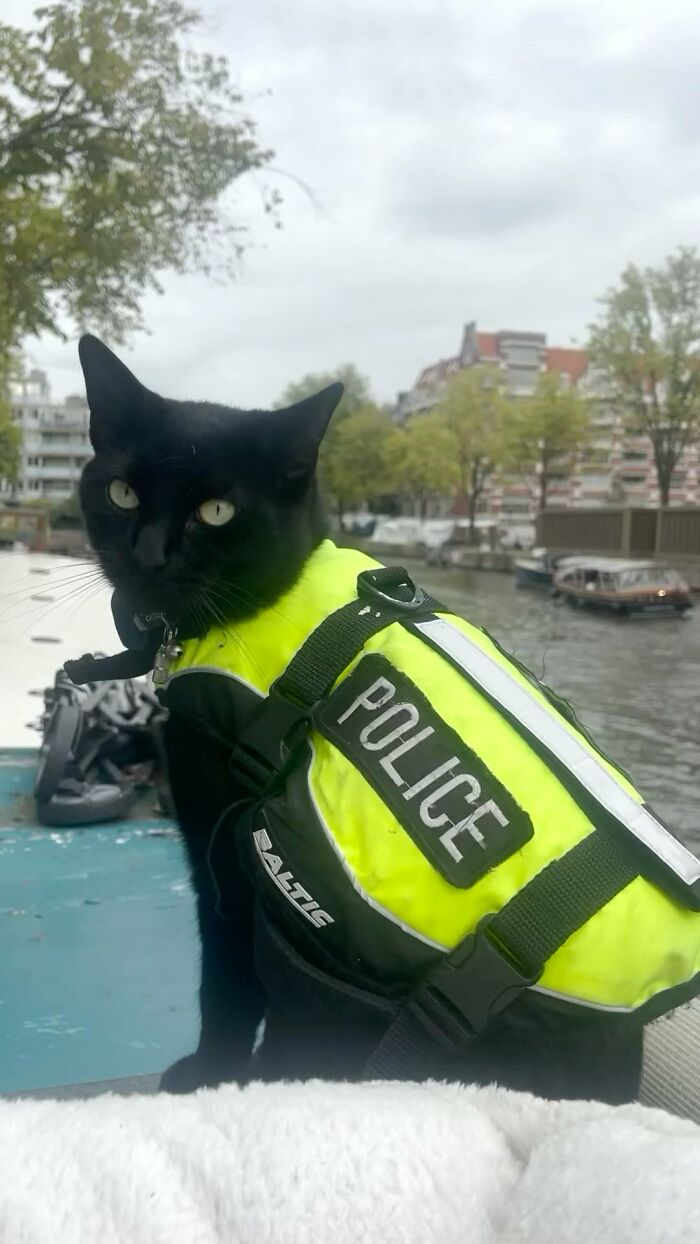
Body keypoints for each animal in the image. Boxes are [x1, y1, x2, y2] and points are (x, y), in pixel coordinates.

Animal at [71, 334, 642, 1103]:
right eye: (123, 492)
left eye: (217, 512)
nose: (150, 554)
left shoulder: (226, 873)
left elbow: (224, 990)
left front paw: (209, 1077)